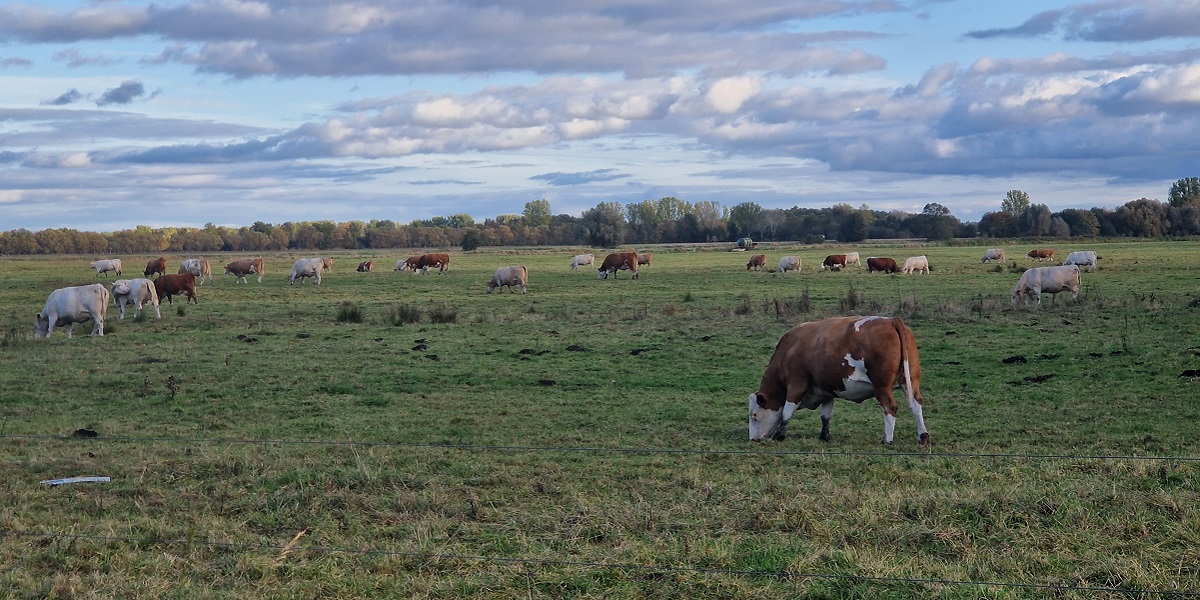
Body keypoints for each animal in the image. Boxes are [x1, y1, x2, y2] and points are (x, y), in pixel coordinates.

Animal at [744, 314, 931, 446]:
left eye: (754, 415)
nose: (752, 439)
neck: (790, 349)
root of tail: (892, 321)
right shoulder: (826, 390)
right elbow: (826, 416)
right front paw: (824, 436)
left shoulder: (796, 384)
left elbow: (786, 411)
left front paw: (779, 435)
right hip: (909, 380)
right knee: (916, 404)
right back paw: (922, 436)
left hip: (882, 387)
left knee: (890, 407)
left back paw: (887, 439)